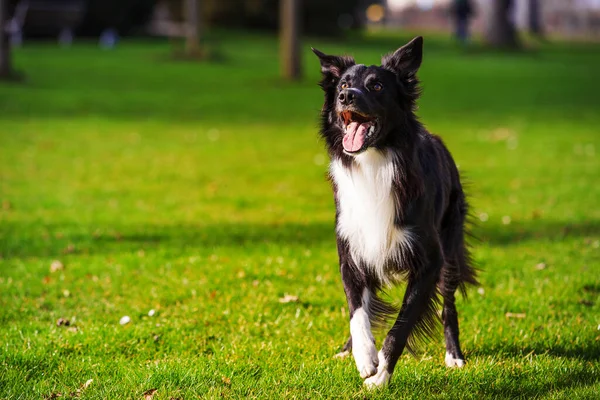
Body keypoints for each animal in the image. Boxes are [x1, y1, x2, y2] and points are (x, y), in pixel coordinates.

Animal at [314, 37, 478, 388]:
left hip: (450, 246)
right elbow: (357, 312)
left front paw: (381, 376)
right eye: (343, 85)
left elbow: (401, 325)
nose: (346, 96)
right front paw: (364, 357)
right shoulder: (351, 252)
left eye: (376, 85)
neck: (373, 161)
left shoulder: (430, 261)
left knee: (448, 305)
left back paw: (454, 355)